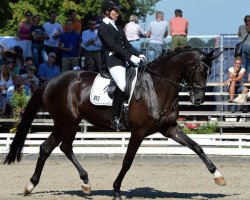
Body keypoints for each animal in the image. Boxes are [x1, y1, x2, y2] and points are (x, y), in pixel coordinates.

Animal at [3, 47, 227, 199]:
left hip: (63, 124)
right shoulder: (139, 132)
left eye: (208, 72)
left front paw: (218, 176)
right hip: (69, 122)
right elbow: (127, 161)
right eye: (200, 71)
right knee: (65, 147)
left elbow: (197, 147)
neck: (158, 86)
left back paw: (33, 186)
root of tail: (51, 80)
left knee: (46, 148)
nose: (199, 100)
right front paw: (117, 190)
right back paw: (84, 182)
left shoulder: (169, 129)